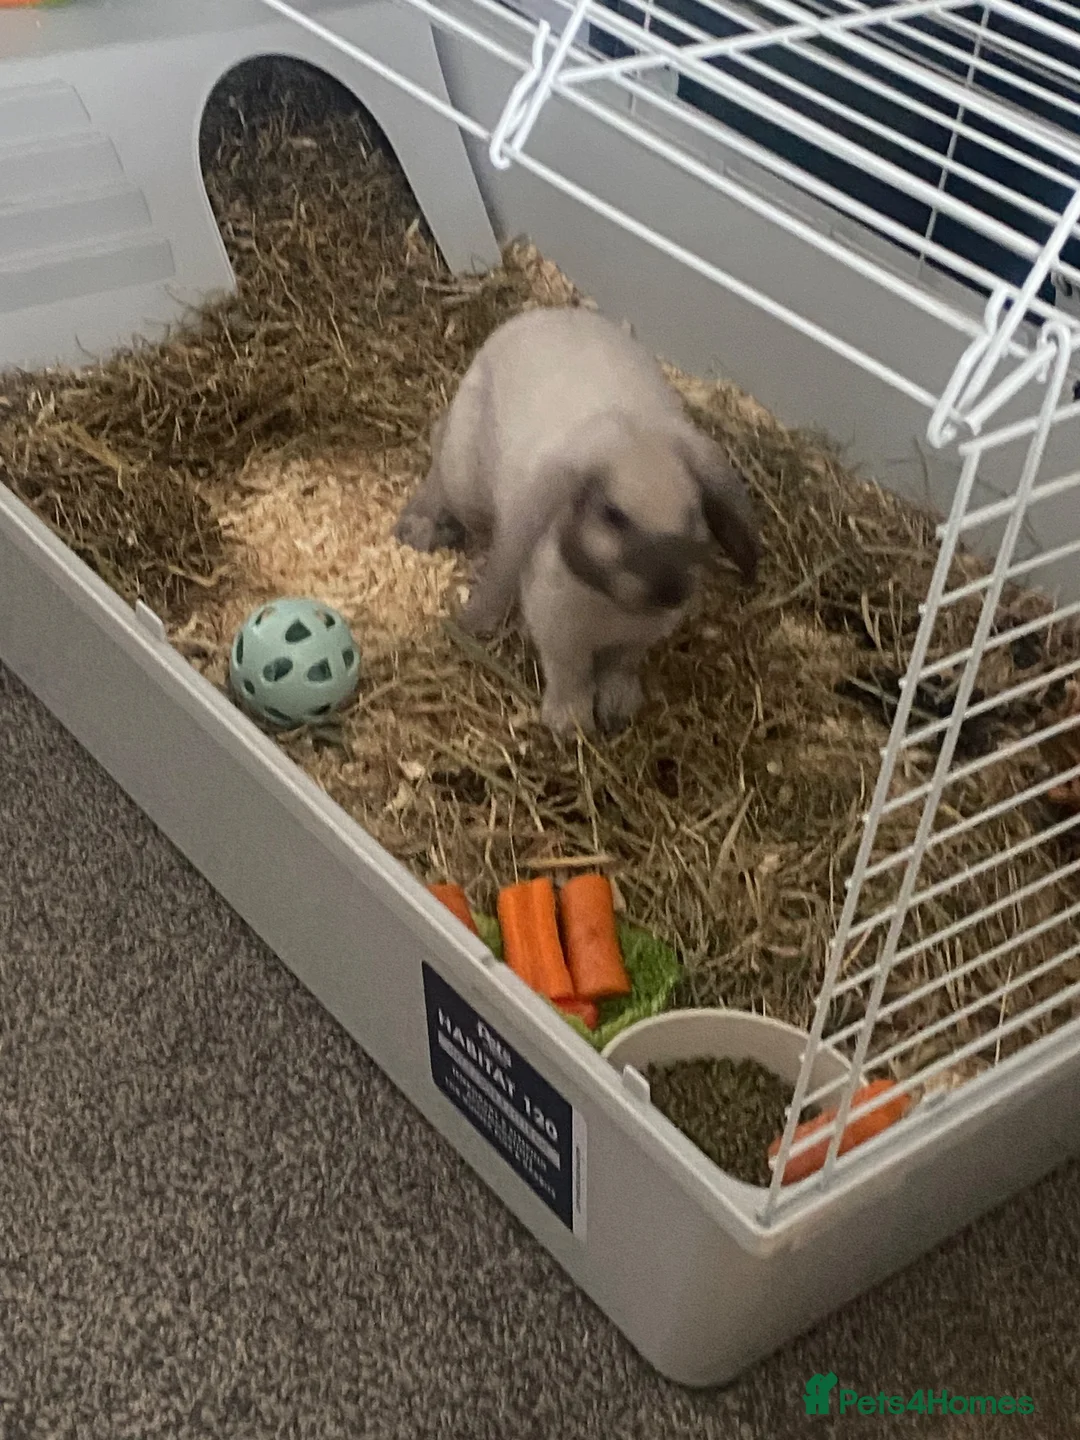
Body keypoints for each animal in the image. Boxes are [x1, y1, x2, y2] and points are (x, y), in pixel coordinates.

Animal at [394, 305, 760, 736]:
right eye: (613, 515)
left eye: (694, 512)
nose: (671, 590)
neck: (614, 606)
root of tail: (546, 312)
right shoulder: (559, 636)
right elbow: (570, 674)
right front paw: (569, 725)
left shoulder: (637, 641)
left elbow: (620, 667)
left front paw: (619, 711)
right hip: (464, 478)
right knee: (445, 473)